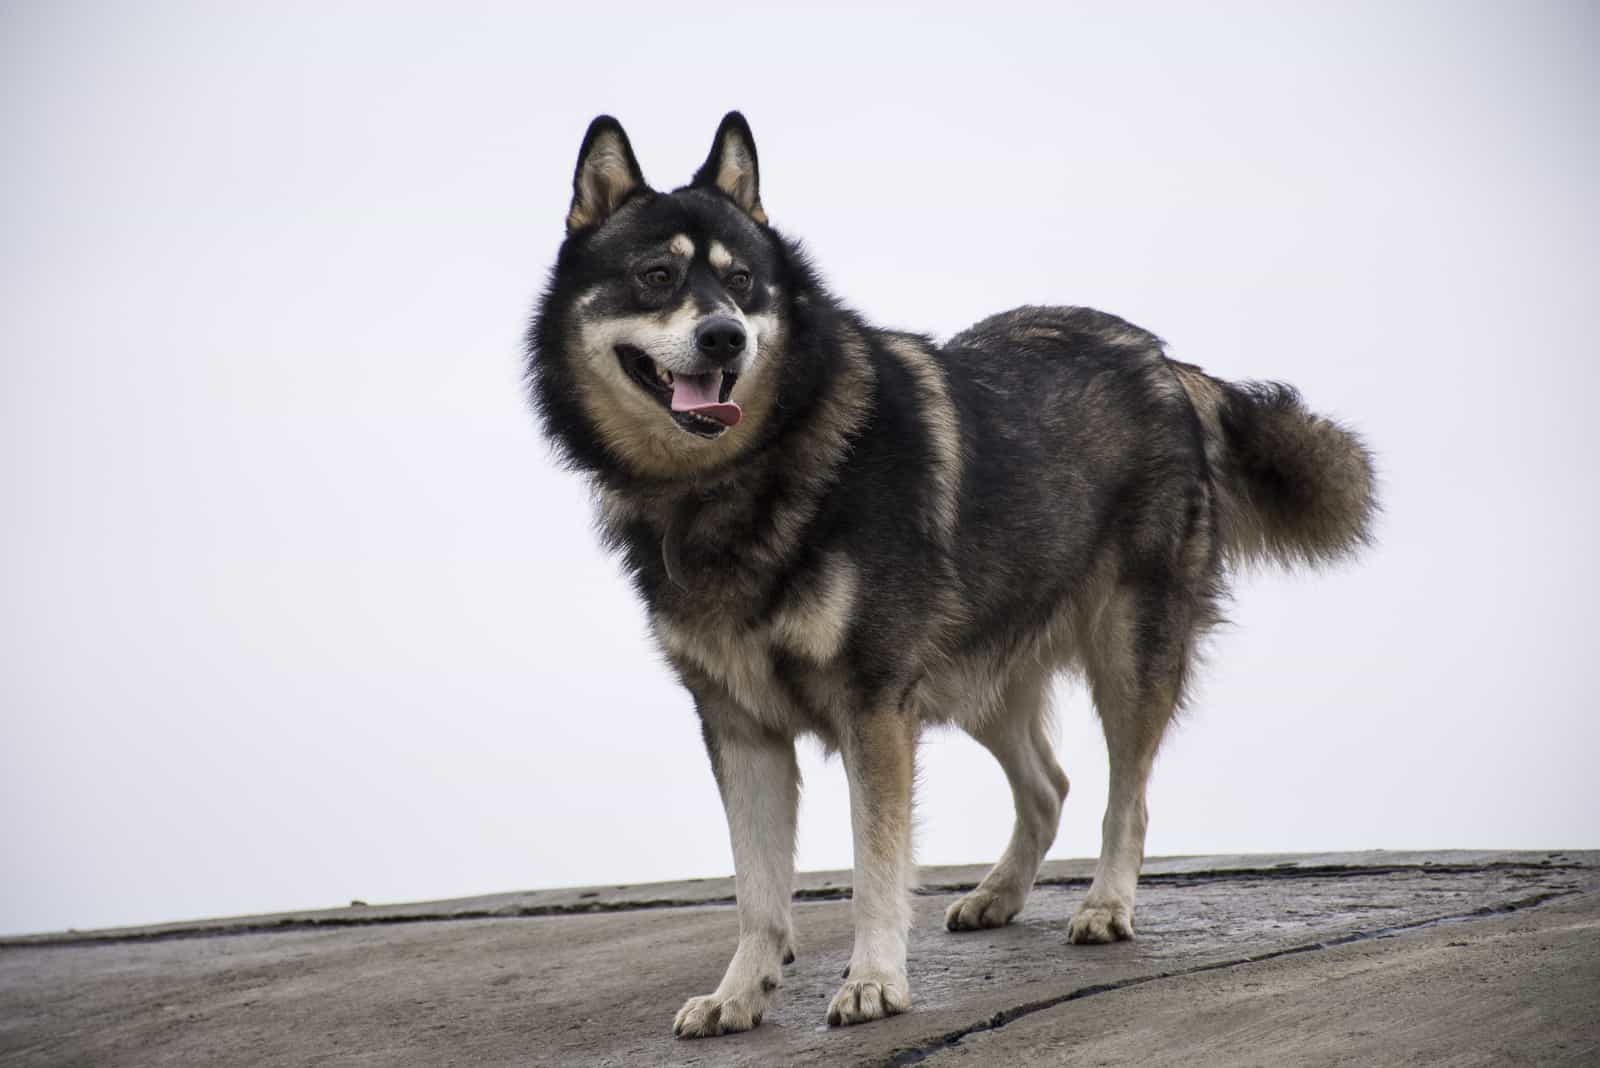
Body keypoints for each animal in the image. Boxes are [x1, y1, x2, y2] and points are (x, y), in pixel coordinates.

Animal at [524, 110, 1376, 1036]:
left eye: (743, 282)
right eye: (656, 275)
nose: (726, 336)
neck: (744, 476)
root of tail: (1164, 360)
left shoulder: (873, 707)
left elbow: (875, 864)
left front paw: (873, 981)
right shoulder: (739, 724)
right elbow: (757, 890)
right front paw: (739, 993)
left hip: (1124, 650)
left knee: (1128, 792)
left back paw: (1106, 905)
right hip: (976, 674)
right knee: (1050, 785)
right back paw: (999, 894)